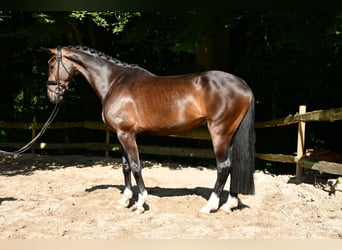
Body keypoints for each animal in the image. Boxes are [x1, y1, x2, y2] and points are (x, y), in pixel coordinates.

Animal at [42, 45, 254, 213]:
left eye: (51, 65)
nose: (52, 96)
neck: (114, 82)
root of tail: (243, 84)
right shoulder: (121, 134)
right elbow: (126, 166)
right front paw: (125, 199)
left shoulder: (127, 134)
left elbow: (136, 166)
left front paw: (140, 203)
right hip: (230, 134)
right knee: (233, 166)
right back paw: (229, 204)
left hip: (219, 133)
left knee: (223, 167)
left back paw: (210, 206)